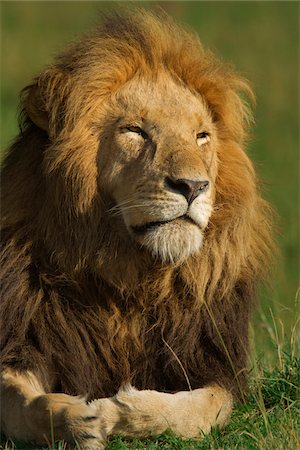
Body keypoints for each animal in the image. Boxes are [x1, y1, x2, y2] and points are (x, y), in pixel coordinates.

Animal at [0, 7, 274, 450]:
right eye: (135, 131)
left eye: (201, 136)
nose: (193, 186)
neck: (132, 278)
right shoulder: (24, 340)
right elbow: (22, 404)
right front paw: (76, 418)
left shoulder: (214, 363)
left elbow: (198, 410)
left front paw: (120, 410)